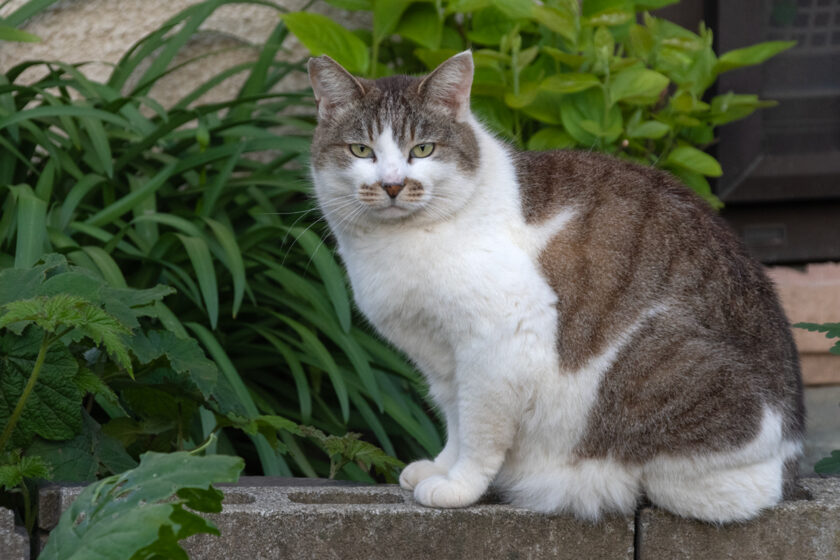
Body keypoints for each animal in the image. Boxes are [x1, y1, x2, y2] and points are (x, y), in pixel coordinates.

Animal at [306, 50, 804, 524]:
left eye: (423, 149)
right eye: (361, 150)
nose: (392, 185)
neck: (398, 245)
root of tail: (790, 461)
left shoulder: (499, 343)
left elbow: (479, 431)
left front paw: (459, 487)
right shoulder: (441, 357)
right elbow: (454, 417)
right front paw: (441, 467)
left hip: (659, 367)